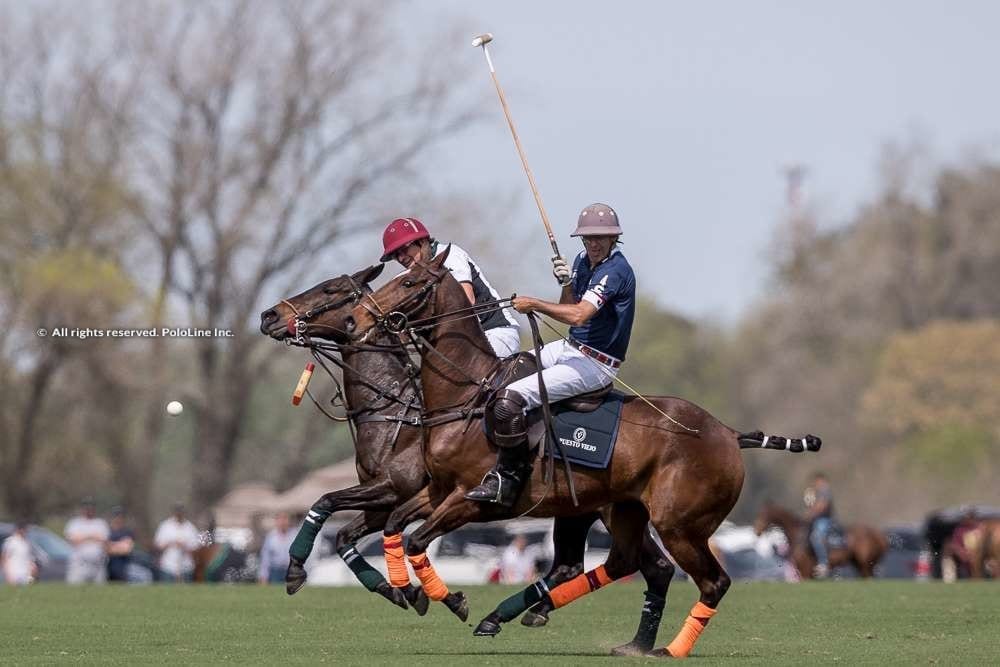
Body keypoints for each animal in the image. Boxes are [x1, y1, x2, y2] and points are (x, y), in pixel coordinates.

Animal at [296, 250, 820, 656]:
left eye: (408, 281)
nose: (356, 320)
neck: (459, 399)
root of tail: (727, 433)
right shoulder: (432, 492)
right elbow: (392, 528)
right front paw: (407, 592)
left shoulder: (471, 500)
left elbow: (415, 540)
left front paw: (449, 600)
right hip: (620, 510)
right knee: (625, 564)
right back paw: (617, 639)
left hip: (679, 523)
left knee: (709, 581)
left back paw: (667, 649)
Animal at [752, 500, 888, 580]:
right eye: (757, 514)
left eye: (762, 515)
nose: (756, 531)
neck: (797, 535)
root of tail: (879, 535)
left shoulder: (806, 573)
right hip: (860, 564)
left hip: (865, 564)